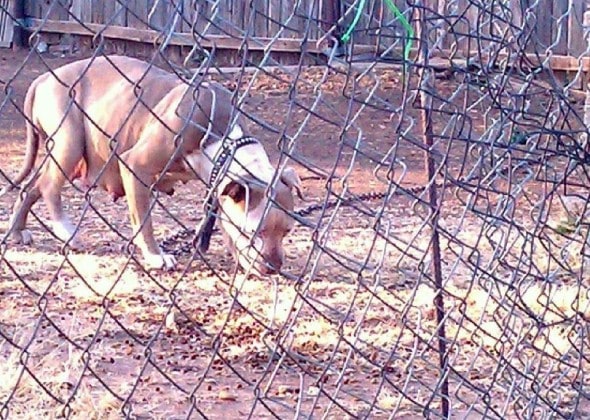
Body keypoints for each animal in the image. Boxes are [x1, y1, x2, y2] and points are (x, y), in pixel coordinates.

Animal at [2, 54, 302, 274]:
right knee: (49, 186)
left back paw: (17, 231)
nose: (275, 267)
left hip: (59, 153)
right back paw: (65, 229)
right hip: (69, 143)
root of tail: (43, 78)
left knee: (30, 188)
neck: (225, 140)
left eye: (287, 231)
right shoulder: (135, 165)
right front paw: (156, 256)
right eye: (255, 231)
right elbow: (143, 219)